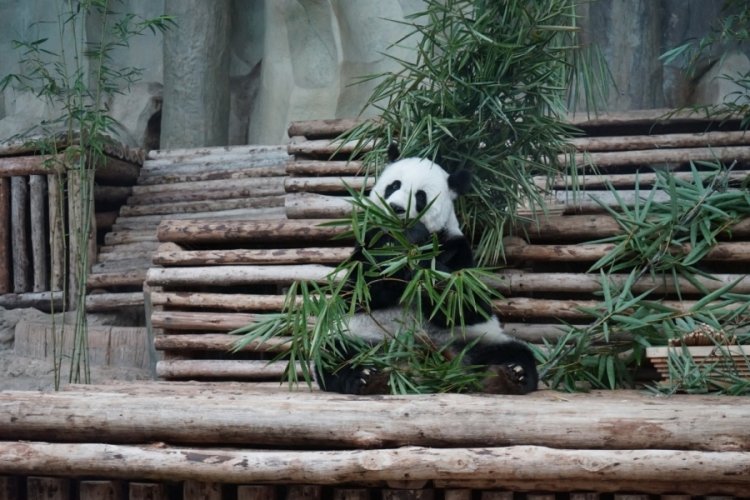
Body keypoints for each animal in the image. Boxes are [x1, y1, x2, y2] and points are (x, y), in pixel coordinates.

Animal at [316, 144, 538, 395]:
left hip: (477, 340)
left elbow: (468, 303)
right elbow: (358, 293)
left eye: (420, 197)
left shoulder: (457, 248)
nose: (396, 208)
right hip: (363, 336)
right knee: (334, 354)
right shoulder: (366, 243)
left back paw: (511, 375)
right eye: (394, 185)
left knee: (513, 352)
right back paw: (365, 377)